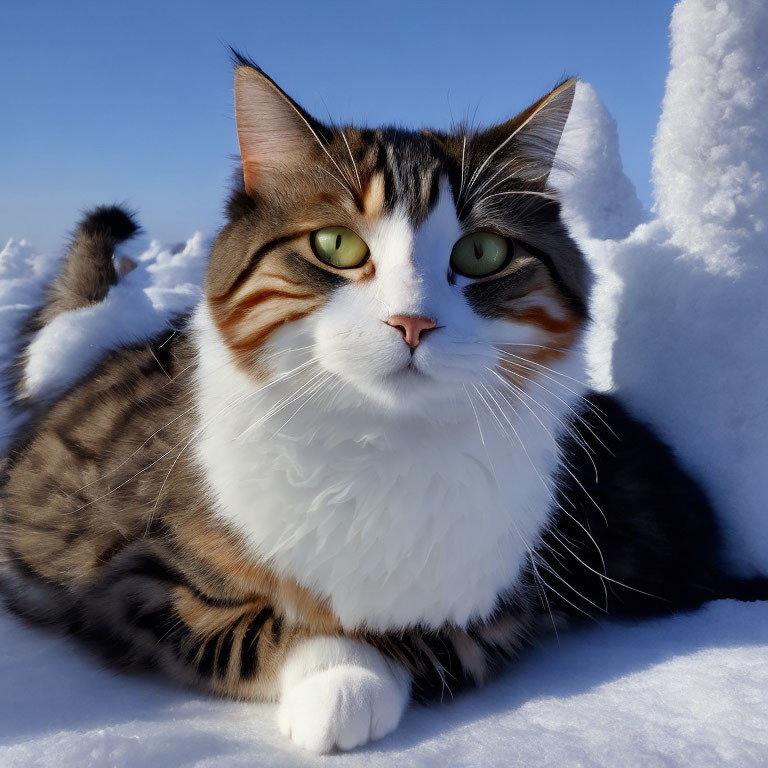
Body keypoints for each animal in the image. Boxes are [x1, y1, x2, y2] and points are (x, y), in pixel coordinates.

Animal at [0, 55, 756, 756]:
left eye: (482, 252)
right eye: (335, 244)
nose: (412, 322)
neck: (385, 443)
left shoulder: (511, 596)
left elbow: (423, 635)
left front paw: (357, 674)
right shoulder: (138, 581)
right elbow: (263, 624)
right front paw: (338, 677)